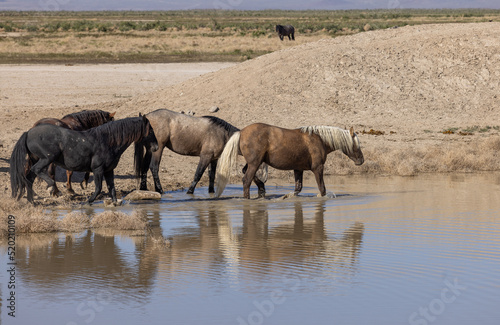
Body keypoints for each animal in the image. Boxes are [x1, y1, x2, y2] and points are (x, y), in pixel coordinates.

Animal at [10, 115, 157, 204]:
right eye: (150, 131)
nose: (156, 147)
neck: (107, 141)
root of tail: (28, 133)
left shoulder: (109, 170)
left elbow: (112, 188)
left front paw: (115, 204)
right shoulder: (98, 170)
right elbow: (98, 188)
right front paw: (87, 202)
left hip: (37, 160)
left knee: (29, 178)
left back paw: (32, 202)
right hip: (46, 159)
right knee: (37, 171)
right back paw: (51, 187)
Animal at [133, 109, 266, 195]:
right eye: (262, 167)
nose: (263, 186)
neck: (222, 134)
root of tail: (147, 117)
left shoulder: (214, 159)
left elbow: (211, 175)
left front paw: (211, 192)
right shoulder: (205, 156)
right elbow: (198, 173)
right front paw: (190, 191)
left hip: (150, 150)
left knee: (144, 168)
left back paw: (144, 189)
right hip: (158, 149)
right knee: (154, 167)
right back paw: (160, 190)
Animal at [215, 121, 364, 197]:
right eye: (356, 144)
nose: (361, 161)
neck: (319, 139)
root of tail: (241, 132)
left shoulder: (298, 169)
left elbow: (298, 189)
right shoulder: (318, 168)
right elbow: (322, 189)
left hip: (254, 163)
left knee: (247, 175)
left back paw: (262, 190)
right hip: (255, 163)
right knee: (246, 180)